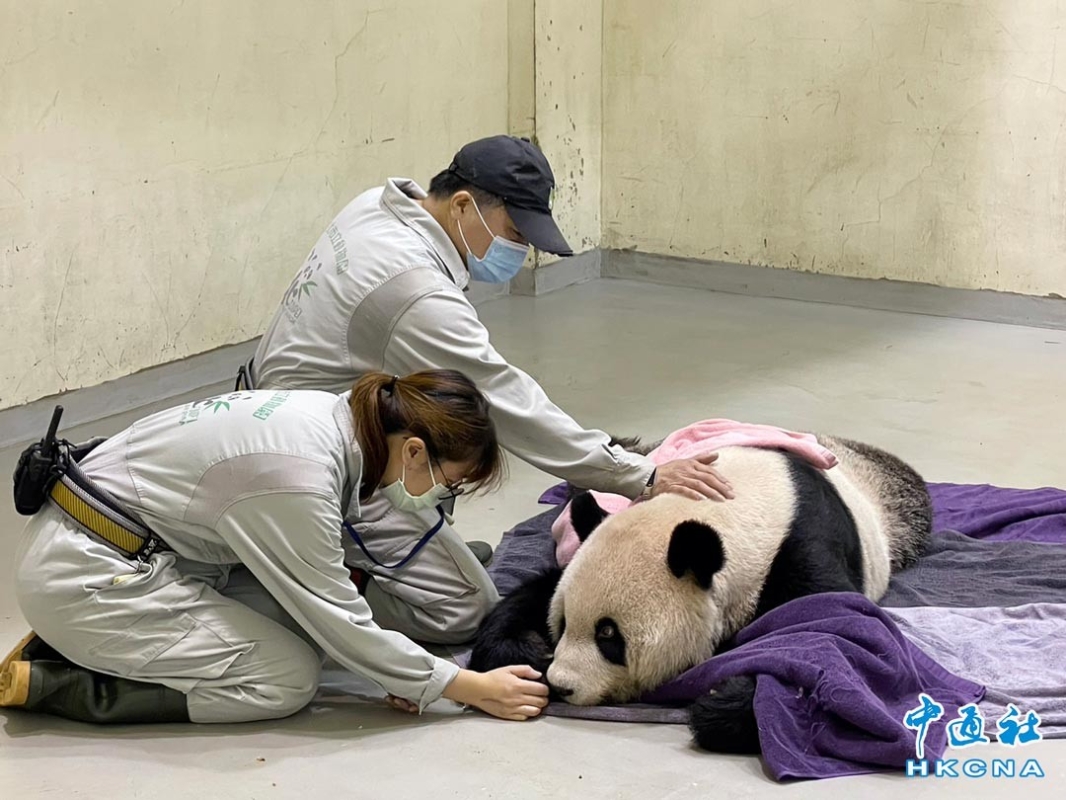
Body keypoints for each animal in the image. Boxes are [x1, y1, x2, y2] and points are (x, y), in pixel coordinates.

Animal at [469, 434, 932, 754]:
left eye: (609, 636)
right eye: (564, 622)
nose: (562, 685)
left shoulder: (800, 547)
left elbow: (835, 634)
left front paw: (723, 700)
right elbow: (537, 589)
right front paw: (525, 651)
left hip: (899, 513)